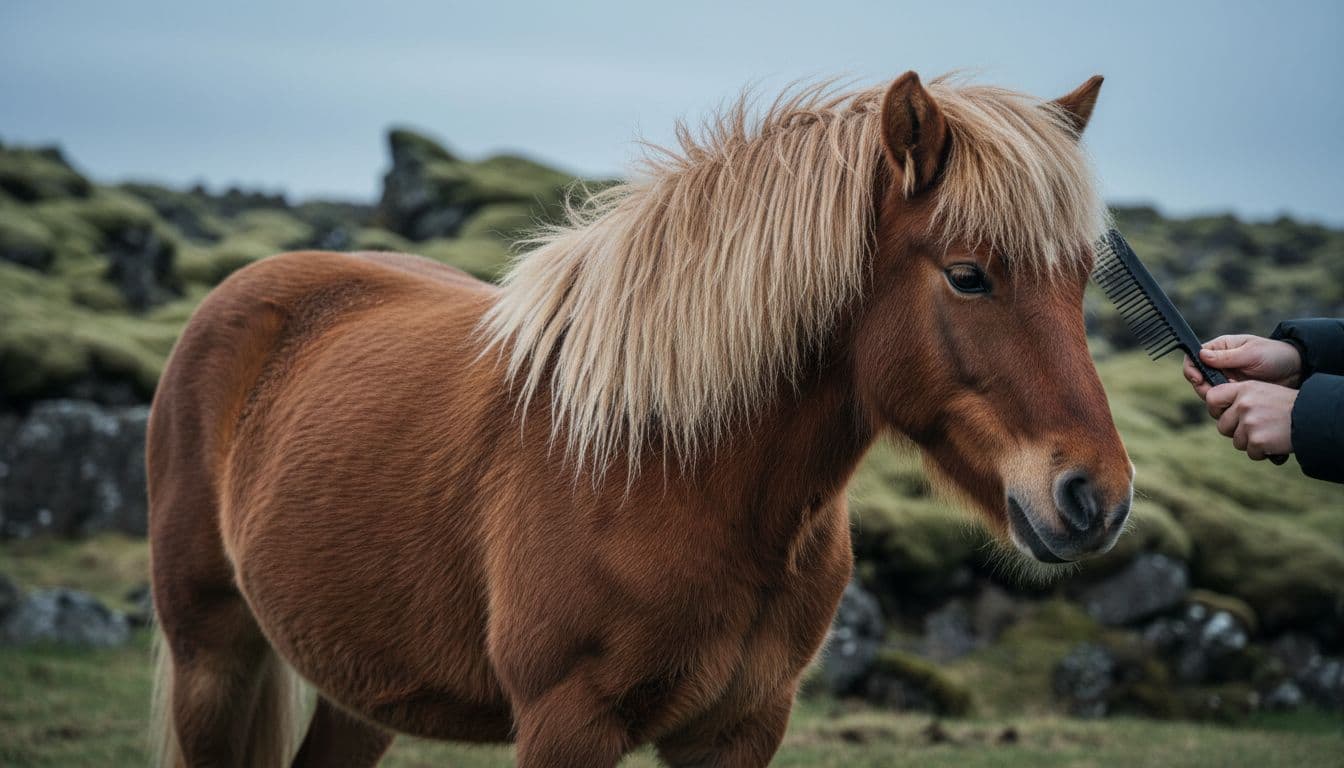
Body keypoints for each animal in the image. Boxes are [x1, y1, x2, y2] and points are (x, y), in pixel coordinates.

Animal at [147, 71, 1133, 767]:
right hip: (213, 659)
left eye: (1083, 278)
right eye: (969, 275)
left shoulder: (739, 732)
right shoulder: (566, 726)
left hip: (362, 691)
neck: (667, 471)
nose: (1097, 498)